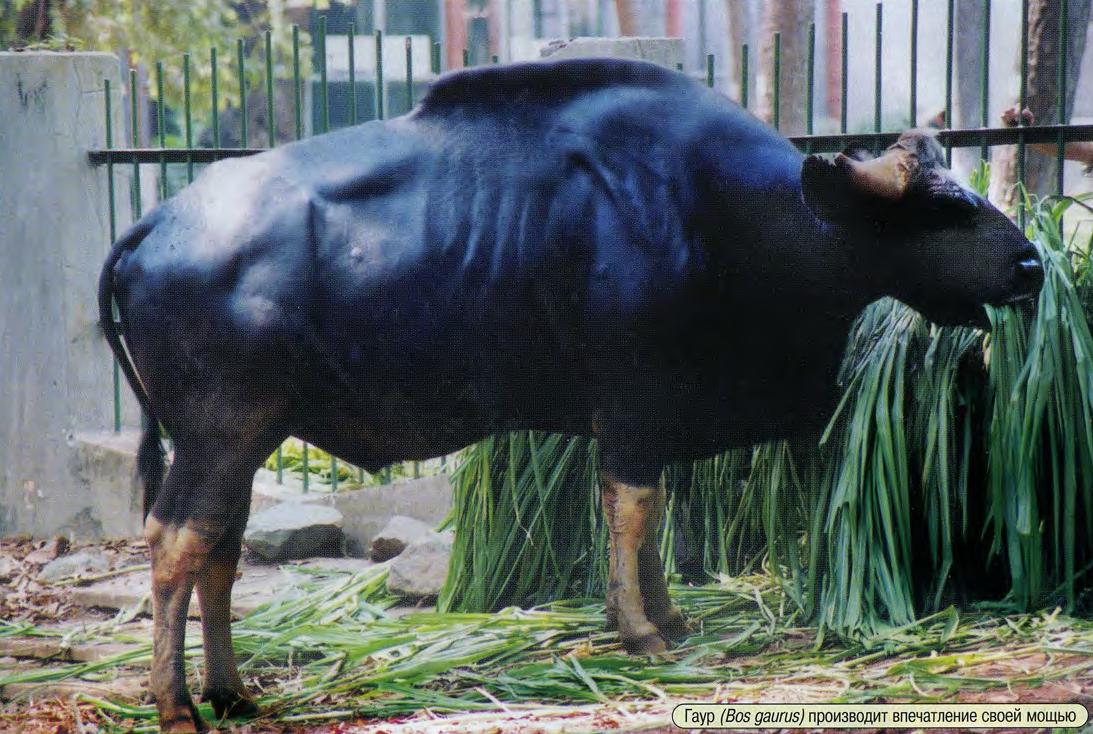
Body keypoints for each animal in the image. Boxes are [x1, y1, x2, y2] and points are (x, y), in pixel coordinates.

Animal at [96, 60, 1040, 729]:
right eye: (939, 213)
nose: (1029, 264)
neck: (725, 212)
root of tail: (156, 222)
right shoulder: (631, 411)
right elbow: (631, 514)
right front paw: (640, 631)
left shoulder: (655, 419)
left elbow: (653, 520)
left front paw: (667, 618)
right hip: (221, 432)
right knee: (176, 543)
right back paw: (175, 704)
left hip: (244, 441)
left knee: (221, 549)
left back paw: (231, 692)